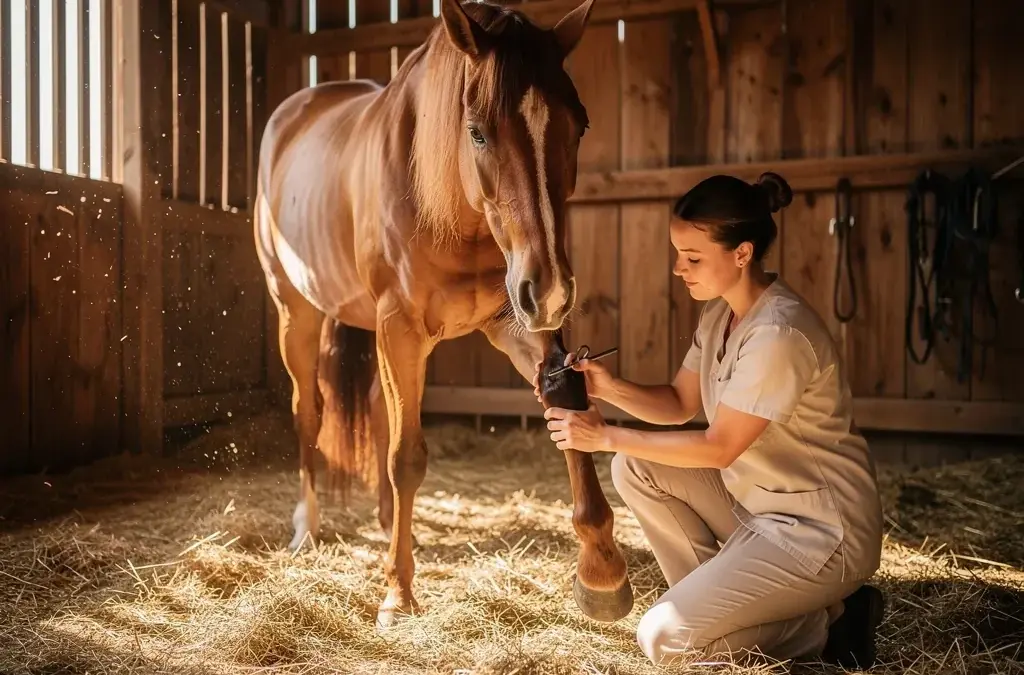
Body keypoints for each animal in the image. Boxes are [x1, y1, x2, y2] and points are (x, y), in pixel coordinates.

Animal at [253, 0, 633, 628]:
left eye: (578, 125)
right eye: (476, 131)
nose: (553, 290)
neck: (446, 202)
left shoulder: (516, 323)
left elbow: (570, 411)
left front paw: (602, 570)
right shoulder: (401, 329)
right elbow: (407, 457)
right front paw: (397, 594)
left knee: (378, 410)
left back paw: (390, 524)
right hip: (297, 315)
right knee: (309, 413)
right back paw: (307, 529)